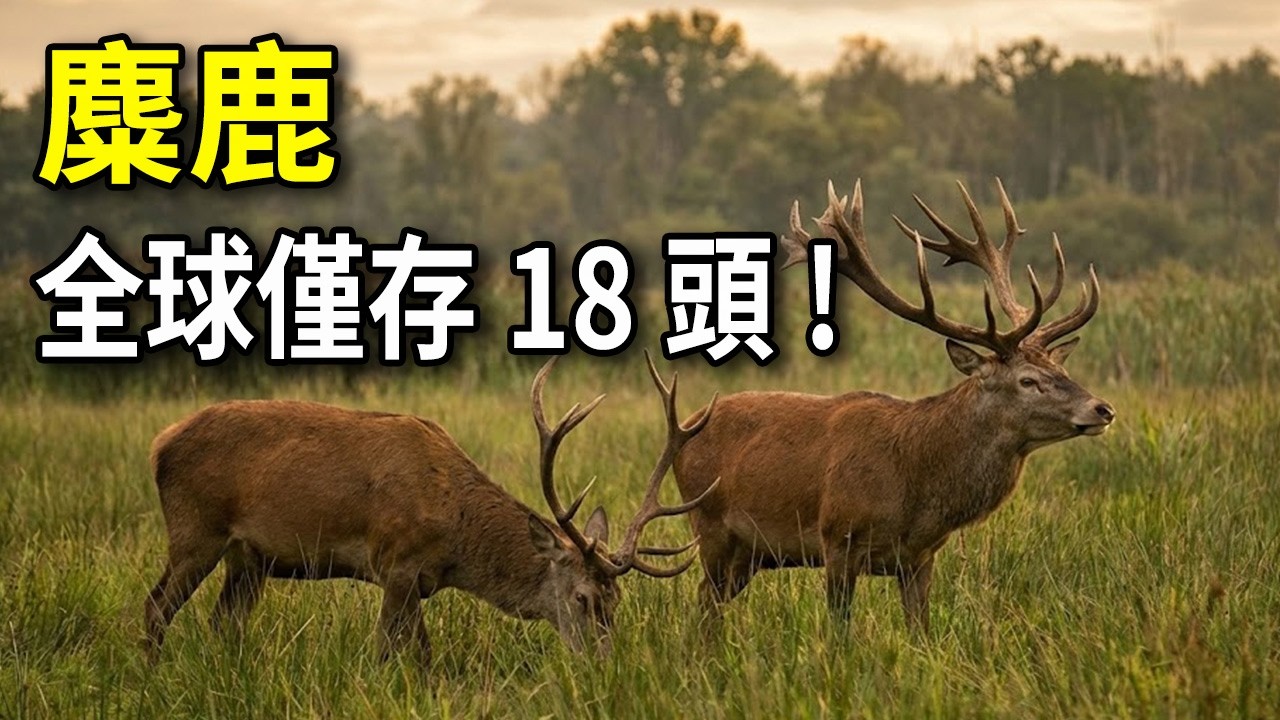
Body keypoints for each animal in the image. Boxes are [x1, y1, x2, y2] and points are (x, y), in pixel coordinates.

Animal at [142, 352, 718, 666]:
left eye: (616, 600)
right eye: (581, 597)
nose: (604, 664)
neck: (455, 534)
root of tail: (160, 443)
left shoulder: (419, 580)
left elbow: (422, 655)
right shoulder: (394, 562)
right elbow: (387, 650)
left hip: (249, 558)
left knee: (223, 623)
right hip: (196, 529)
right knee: (155, 607)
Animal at [672, 179, 1115, 633]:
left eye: (1060, 369)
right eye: (1027, 380)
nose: (1102, 409)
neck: (917, 489)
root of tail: (686, 427)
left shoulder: (920, 559)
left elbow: (920, 629)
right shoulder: (838, 538)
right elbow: (840, 632)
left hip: (751, 554)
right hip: (709, 524)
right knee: (703, 601)